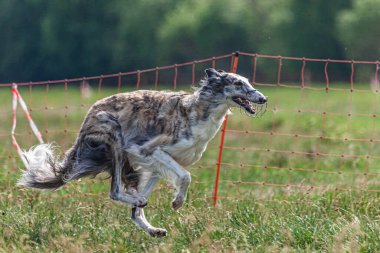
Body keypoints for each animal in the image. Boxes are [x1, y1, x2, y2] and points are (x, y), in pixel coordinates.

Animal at [17, 68, 268, 236]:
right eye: (237, 83)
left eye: (247, 81)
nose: (263, 98)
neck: (197, 110)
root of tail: (87, 118)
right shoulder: (147, 149)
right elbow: (186, 176)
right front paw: (177, 202)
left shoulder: (158, 163)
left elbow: (150, 199)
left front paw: (166, 205)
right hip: (116, 142)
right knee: (115, 192)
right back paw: (137, 202)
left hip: (133, 166)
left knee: (135, 208)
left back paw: (153, 229)